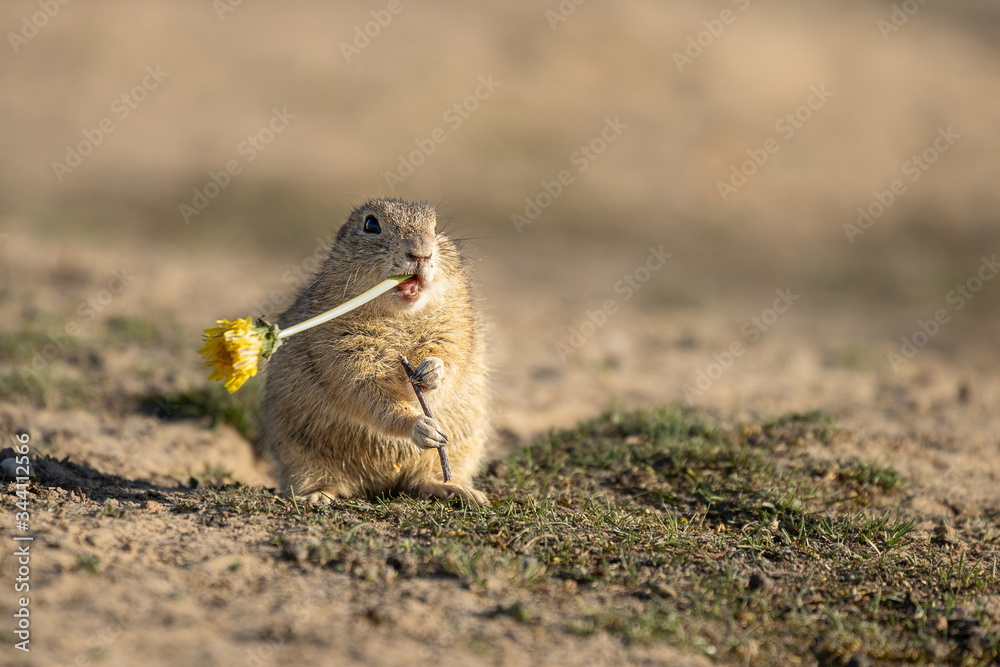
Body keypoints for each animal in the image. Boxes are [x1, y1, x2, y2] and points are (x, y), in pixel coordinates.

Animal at [258, 198, 490, 503]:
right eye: (371, 225)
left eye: (436, 227)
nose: (421, 253)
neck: (401, 316)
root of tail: (383, 483)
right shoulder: (344, 351)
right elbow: (368, 392)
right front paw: (421, 426)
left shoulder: (454, 328)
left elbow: (450, 360)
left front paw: (432, 371)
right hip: (300, 456)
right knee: (324, 481)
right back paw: (318, 495)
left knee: (420, 481)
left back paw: (457, 489)